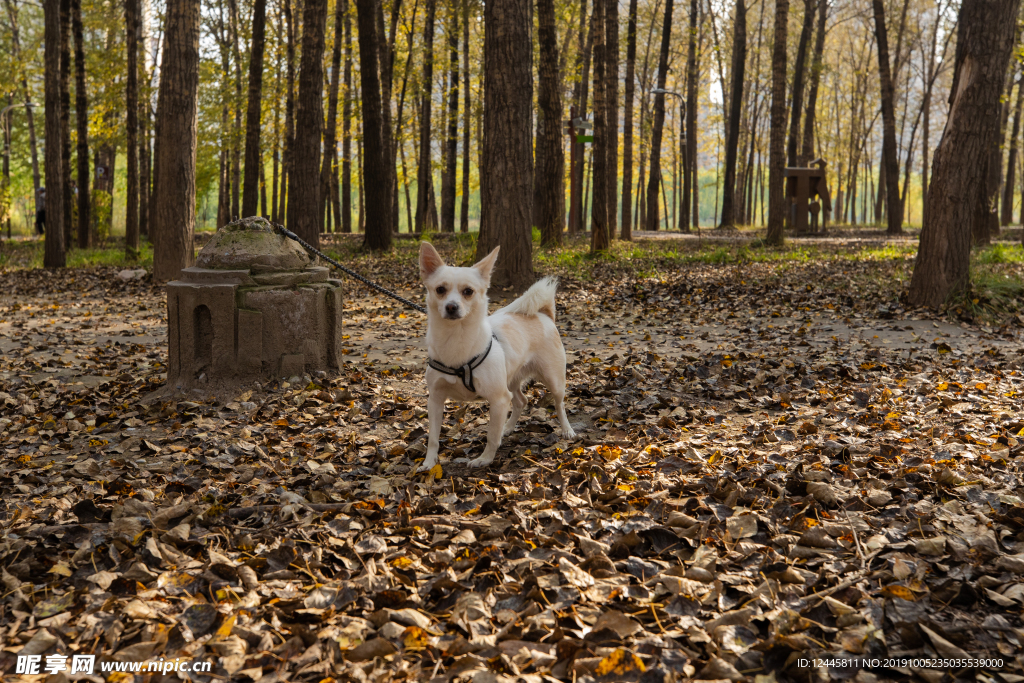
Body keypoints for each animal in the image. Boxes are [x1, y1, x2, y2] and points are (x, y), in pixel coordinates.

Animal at [417, 240, 577, 471]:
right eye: (440, 290)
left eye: (468, 291)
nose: (451, 306)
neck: (456, 340)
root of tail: (543, 314)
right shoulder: (435, 401)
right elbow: (433, 437)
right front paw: (429, 463)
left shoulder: (498, 400)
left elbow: (491, 435)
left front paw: (485, 459)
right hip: (511, 381)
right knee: (521, 401)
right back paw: (507, 428)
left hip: (553, 380)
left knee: (559, 404)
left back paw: (566, 430)